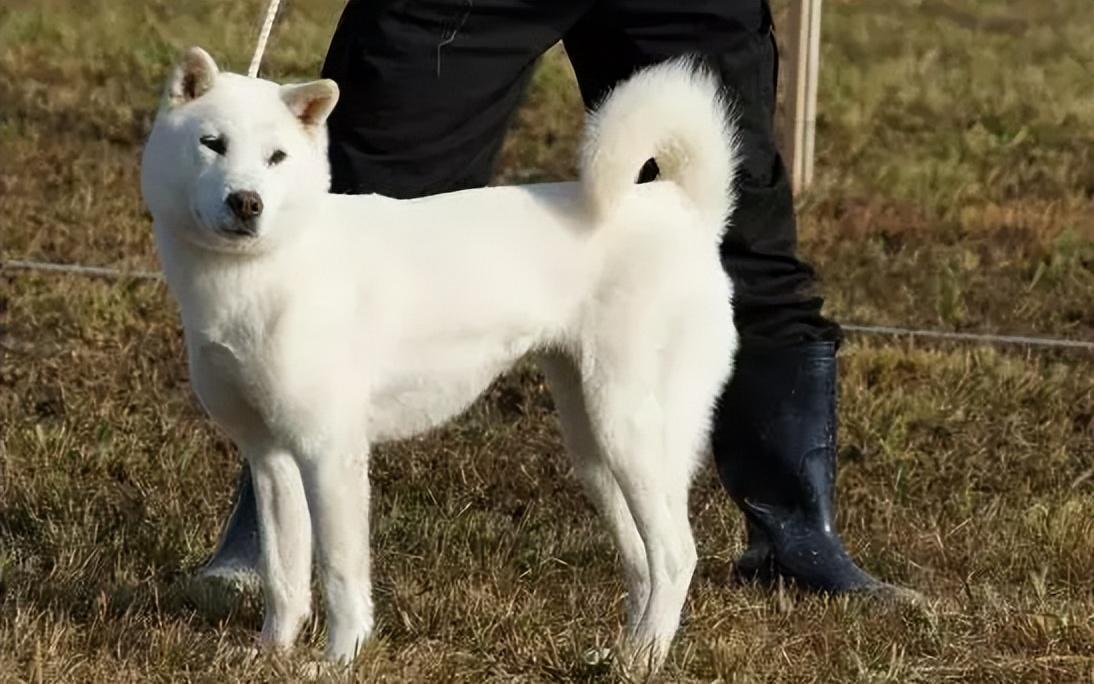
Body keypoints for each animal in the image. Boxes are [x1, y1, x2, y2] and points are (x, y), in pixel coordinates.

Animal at [141, 48, 743, 674]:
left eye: (276, 157)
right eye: (212, 143)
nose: (247, 203)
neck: (267, 269)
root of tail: (684, 210)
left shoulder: (330, 455)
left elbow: (339, 574)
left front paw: (339, 661)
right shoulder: (270, 458)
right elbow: (284, 578)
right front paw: (270, 656)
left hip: (627, 431)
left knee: (675, 556)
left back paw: (642, 663)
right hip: (595, 450)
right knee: (643, 562)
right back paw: (622, 651)